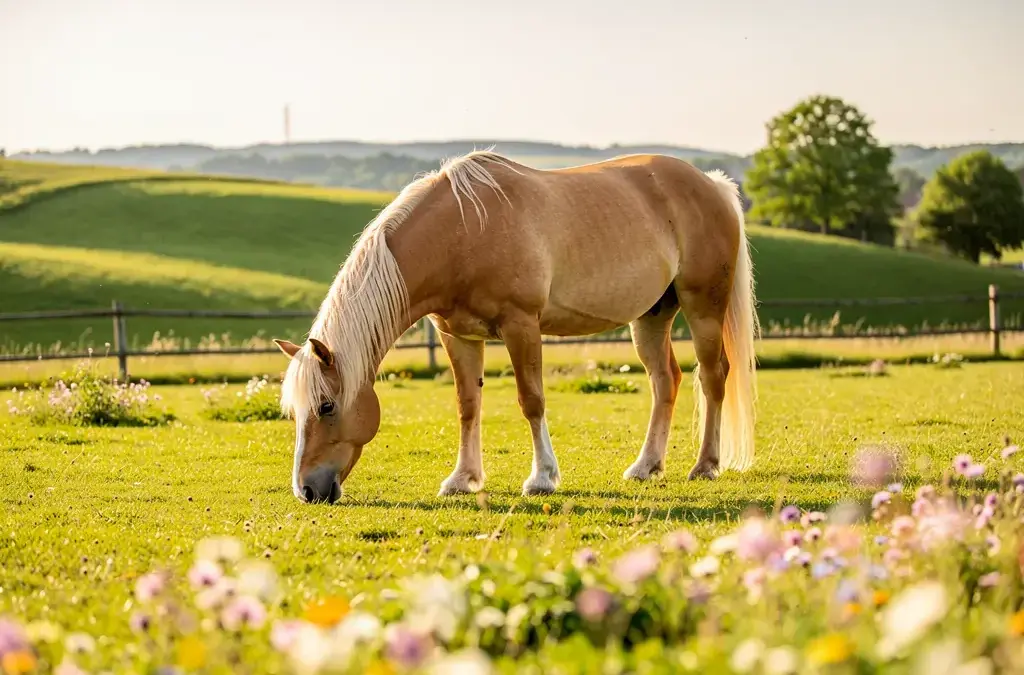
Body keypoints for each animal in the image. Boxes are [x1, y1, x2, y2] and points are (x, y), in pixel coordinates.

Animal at [273, 150, 759, 504]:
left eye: (327, 406)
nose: (307, 490)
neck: (463, 230)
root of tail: (711, 184)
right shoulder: (458, 336)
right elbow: (468, 406)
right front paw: (463, 479)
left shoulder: (520, 324)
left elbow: (532, 400)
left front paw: (542, 478)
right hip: (652, 317)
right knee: (666, 381)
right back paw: (646, 467)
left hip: (703, 308)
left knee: (713, 377)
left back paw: (705, 466)